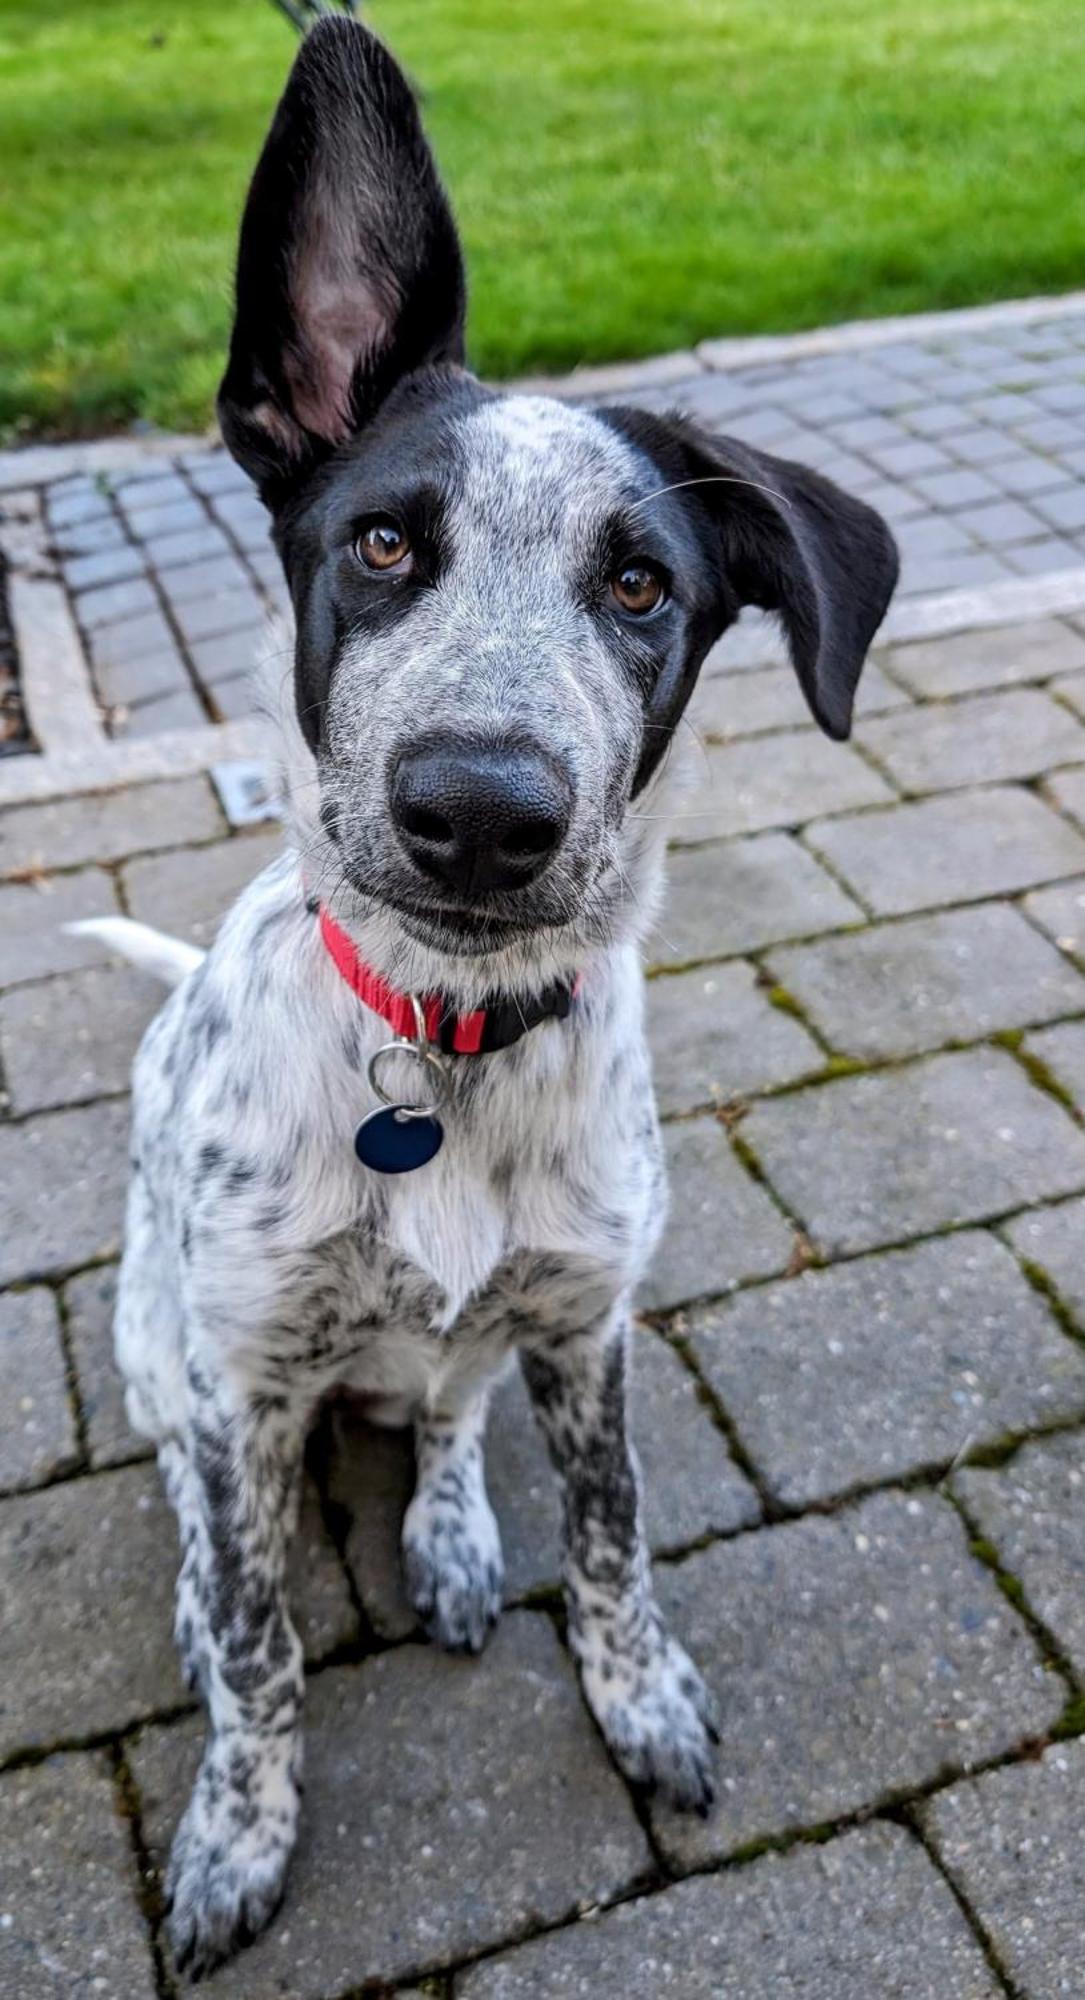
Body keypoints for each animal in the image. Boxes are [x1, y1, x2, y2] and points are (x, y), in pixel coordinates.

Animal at [81, 19, 900, 1984]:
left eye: (642, 583)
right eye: (382, 545)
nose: (480, 809)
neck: (444, 1048)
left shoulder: (589, 1326)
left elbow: (613, 1540)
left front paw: (642, 1699)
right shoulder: (240, 1378)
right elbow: (261, 1648)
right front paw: (238, 1832)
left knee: (447, 1407)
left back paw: (448, 1530)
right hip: (161, 1346)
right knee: (198, 1502)